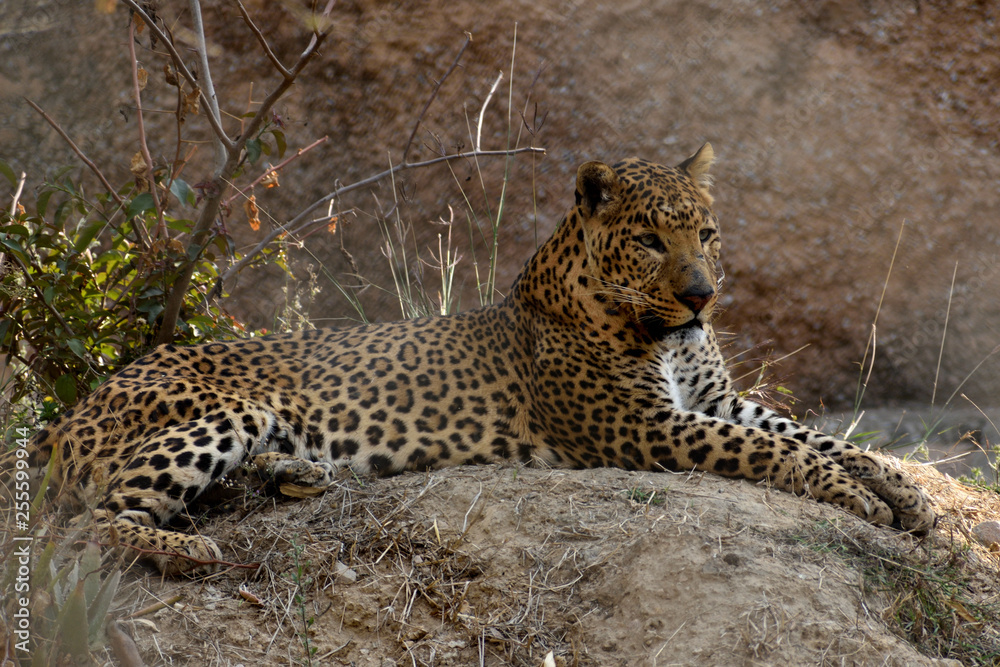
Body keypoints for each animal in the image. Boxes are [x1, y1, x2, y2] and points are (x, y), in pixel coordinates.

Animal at [20, 144, 935, 575]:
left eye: (705, 232)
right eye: (649, 239)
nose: (704, 295)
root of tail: (70, 413)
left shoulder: (708, 402)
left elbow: (810, 432)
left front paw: (908, 491)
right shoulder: (645, 426)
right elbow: (772, 447)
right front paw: (858, 497)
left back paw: (301, 471)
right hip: (219, 409)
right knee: (84, 523)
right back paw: (186, 549)